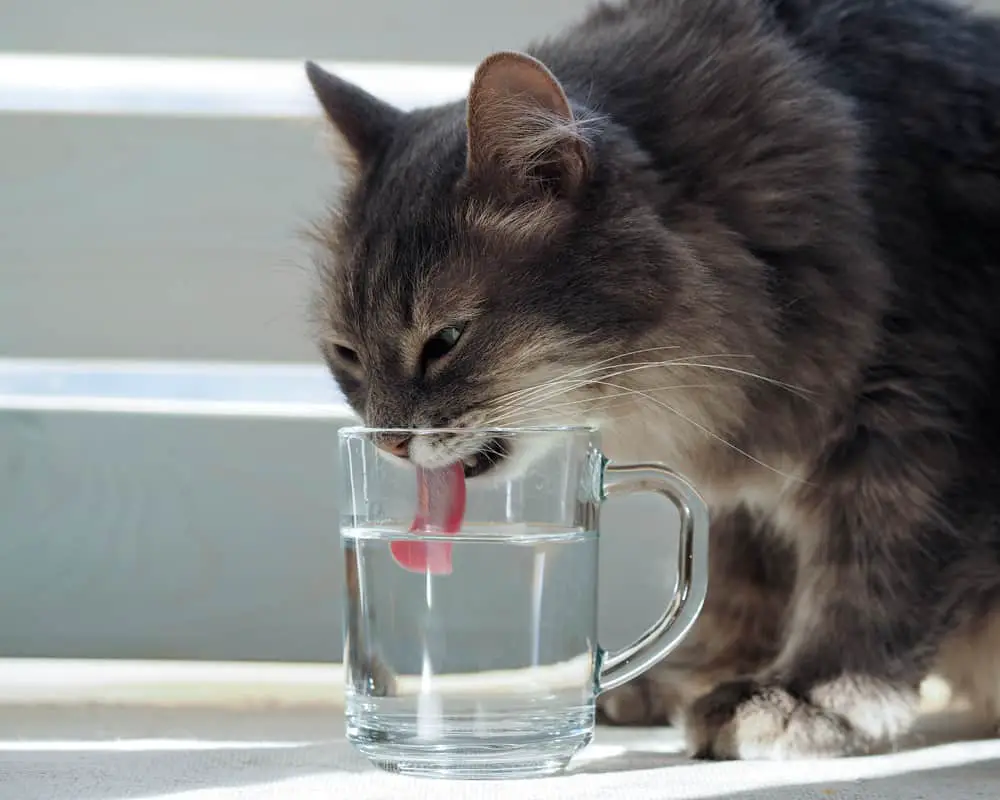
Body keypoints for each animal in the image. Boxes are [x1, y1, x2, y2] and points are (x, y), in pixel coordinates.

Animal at [302, 0, 1000, 764]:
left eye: (445, 341)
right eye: (346, 354)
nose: (388, 443)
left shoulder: (914, 432)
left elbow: (867, 584)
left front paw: (808, 697)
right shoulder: (745, 486)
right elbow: (736, 589)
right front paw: (697, 675)